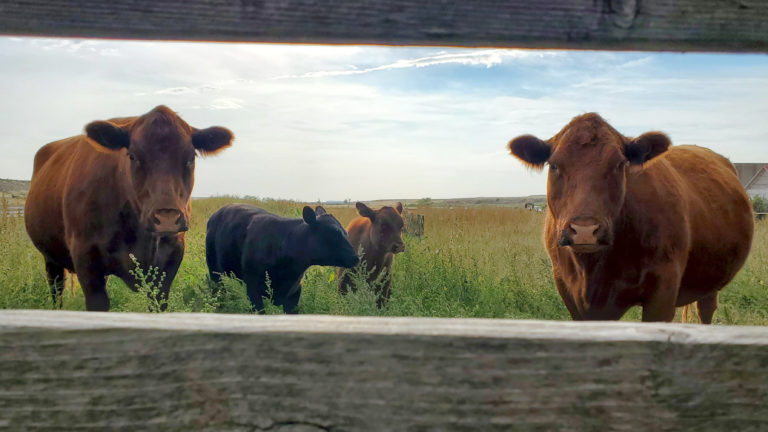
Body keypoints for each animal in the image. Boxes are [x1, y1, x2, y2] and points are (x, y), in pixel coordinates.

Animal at [25, 105, 233, 311]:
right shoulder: (86, 258)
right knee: (56, 290)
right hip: (50, 258)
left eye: (191, 157)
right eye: (133, 156)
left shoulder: (171, 256)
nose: (167, 218)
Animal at [205, 204, 359, 313]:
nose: (356, 258)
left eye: (346, 232)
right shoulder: (253, 289)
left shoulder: (294, 293)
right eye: (333, 234)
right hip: (214, 273)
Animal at [507, 113, 753, 323]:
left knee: (706, 310)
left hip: (711, 284)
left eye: (619, 164)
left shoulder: (663, 293)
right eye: (554, 165)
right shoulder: (570, 293)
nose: (585, 230)